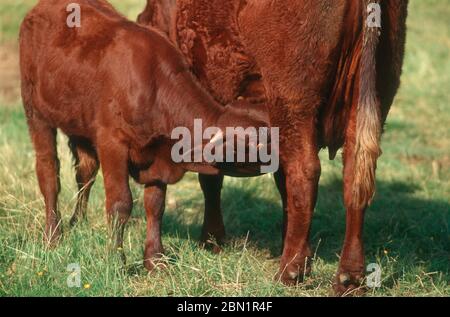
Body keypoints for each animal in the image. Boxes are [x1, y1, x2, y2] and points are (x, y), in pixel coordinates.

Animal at [19, 0, 268, 270]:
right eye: (258, 143)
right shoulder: (112, 142)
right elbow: (120, 203)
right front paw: (116, 261)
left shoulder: (158, 157)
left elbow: (155, 205)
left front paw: (155, 259)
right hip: (36, 114)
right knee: (49, 173)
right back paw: (53, 236)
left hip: (79, 124)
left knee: (85, 171)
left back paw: (78, 223)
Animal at [139, 0, 410, 294]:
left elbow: (203, 180)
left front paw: (209, 240)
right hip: (372, 96)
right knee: (355, 178)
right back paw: (348, 277)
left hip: (292, 99)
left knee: (304, 174)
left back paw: (290, 270)